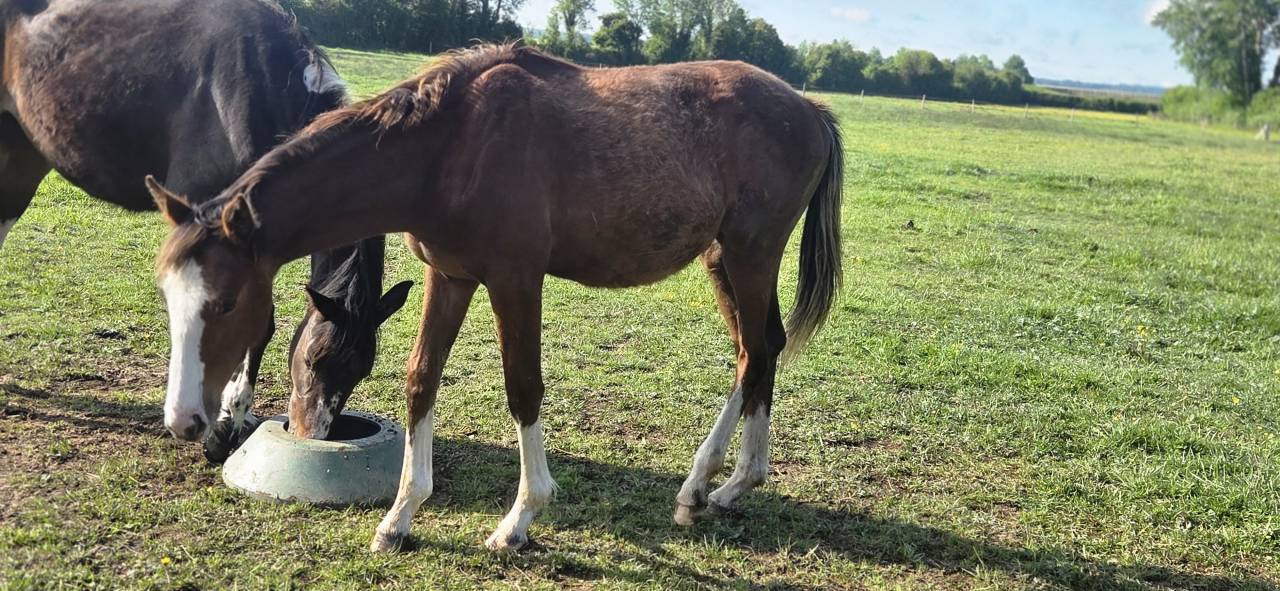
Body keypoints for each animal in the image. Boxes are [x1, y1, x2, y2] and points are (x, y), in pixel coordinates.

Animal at [0, 0, 409, 459]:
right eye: (312, 359)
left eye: (361, 371)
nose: (312, 434)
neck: (253, 87)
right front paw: (221, 425)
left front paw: (235, 417)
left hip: (22, 155)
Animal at [146, 43, 844, 552]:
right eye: (169, 297)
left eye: (227, 302)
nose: (185, 422)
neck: (452, 146)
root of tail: (810, 108)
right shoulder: (449, 277)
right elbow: (421, 380)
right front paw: (399, 517)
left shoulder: (515, 279)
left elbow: (523, 387)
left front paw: (519, 520)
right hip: (722, 257)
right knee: (756, 351)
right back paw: (710, 489)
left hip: (752, 254)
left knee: (758, 350)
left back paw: (722, 485)